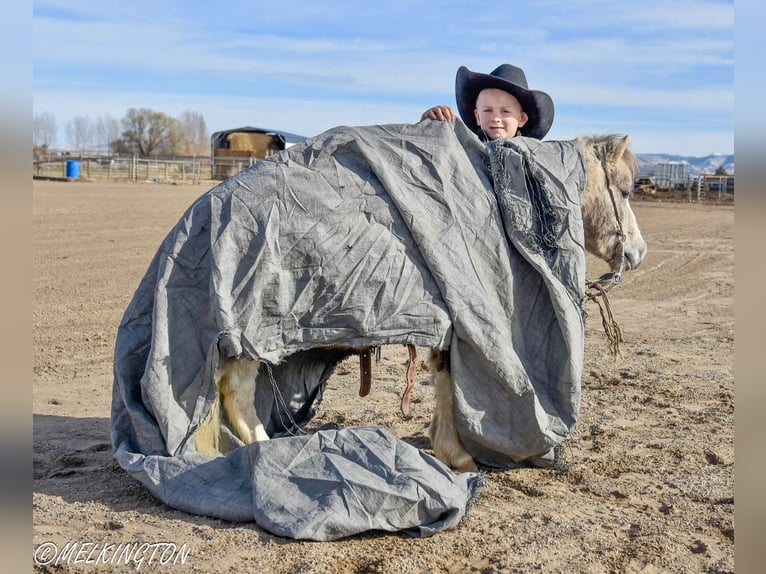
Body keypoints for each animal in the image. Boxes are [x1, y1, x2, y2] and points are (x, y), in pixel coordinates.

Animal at [195, 134, 644, 472]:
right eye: (625, 190)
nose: (638, 252)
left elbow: (445, 382)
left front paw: (449, 446)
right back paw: (258, 447)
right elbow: (448, 384)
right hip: (249, 333)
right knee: (236, 388)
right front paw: (458, 455)